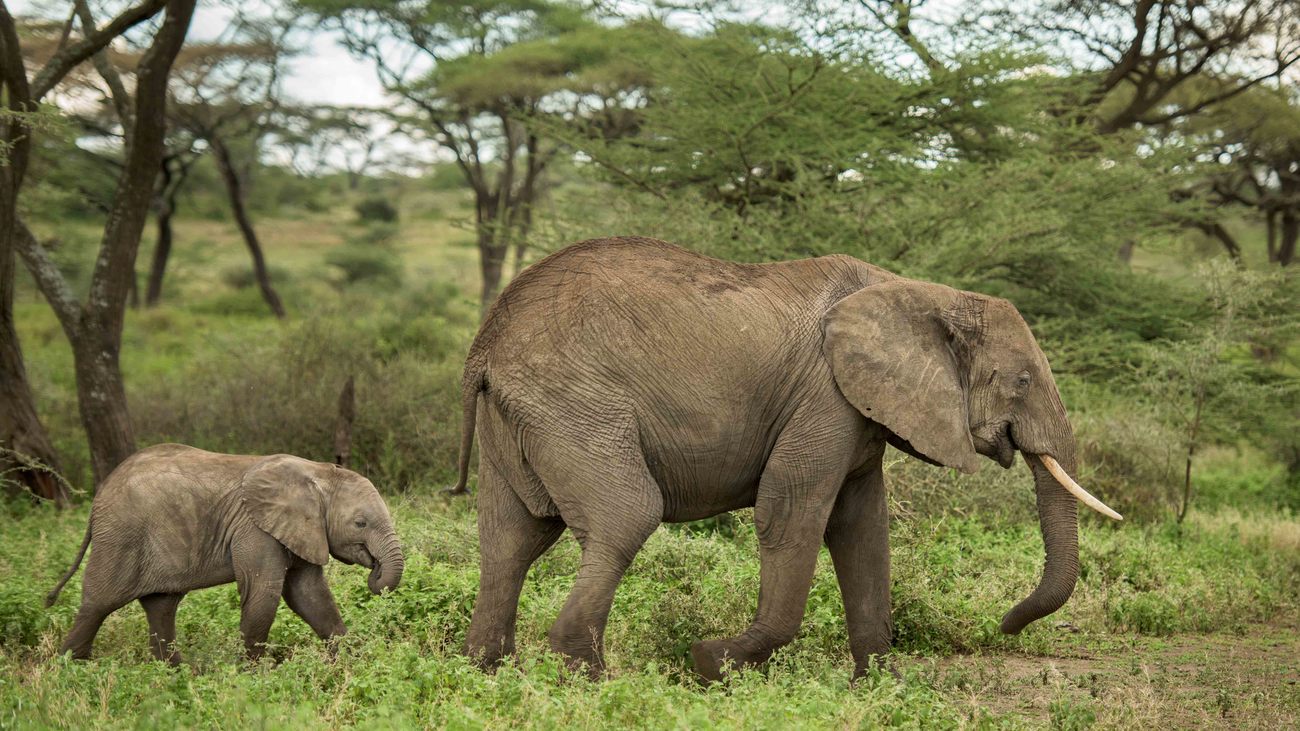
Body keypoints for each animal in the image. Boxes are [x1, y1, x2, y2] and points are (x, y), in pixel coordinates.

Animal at [45, 444, 404, 664]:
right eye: (360, 523)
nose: (375, 571)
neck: (317, 473)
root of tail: (98, 497)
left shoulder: (299, 530)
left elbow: (310, 595)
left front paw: (352, 662)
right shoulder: (255, 529)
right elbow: (263, 594)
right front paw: (256, 678)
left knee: (161, 607)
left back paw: (175, 677)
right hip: (120, 536)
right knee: (98, 604)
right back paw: (68, 671)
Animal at [448, 237, 1120, 681]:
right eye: (1023, 380)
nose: (1004, 624)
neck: (921, 292)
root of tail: (484, 344)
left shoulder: (858, 412)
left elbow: (862, 528)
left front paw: (882, 685)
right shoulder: (824, 397)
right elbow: (791, 512)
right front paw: (710, 664)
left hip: (521, 419)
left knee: (511, 537)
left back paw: (485, 670)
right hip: (573, 405)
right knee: (625, 516)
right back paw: (583, 675)